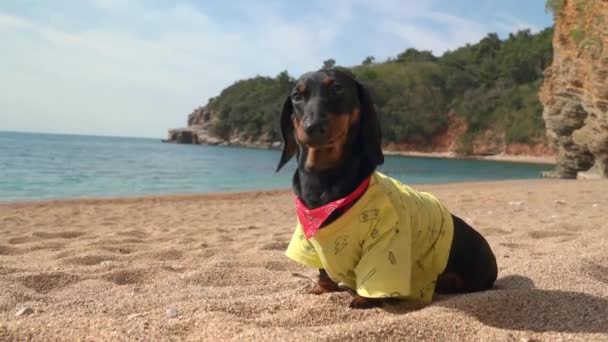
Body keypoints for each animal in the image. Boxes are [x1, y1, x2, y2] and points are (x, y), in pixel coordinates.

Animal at [278, 69, 496, 310]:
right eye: (297, 96)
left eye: (337, 88)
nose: (313, 127)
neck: (324, 179)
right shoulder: (310, 239)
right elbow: (323, 271)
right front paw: (322, 289)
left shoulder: (385, 241)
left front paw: (364, 299)